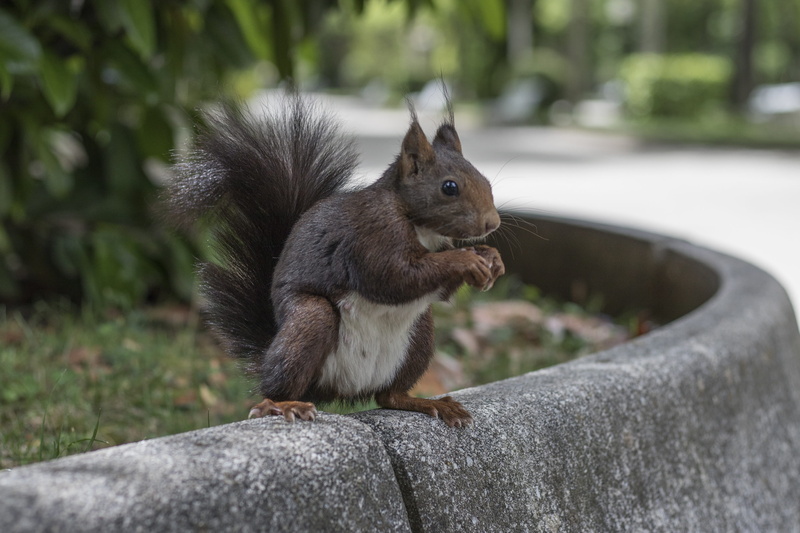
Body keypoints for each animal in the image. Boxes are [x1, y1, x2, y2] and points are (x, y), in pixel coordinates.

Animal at [166, 94, 504, 428]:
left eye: (487, 181)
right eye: (450, 187)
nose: (493, 223)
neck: (419, 225)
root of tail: (342, 388)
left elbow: (437, 288)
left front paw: (492, 259)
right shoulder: (373, 234)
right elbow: (394, 277)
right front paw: (466, 260)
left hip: (420, 335)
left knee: (388, 396)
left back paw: (426, 403)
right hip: (311, 319)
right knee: (274, 386)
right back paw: (283, 404)